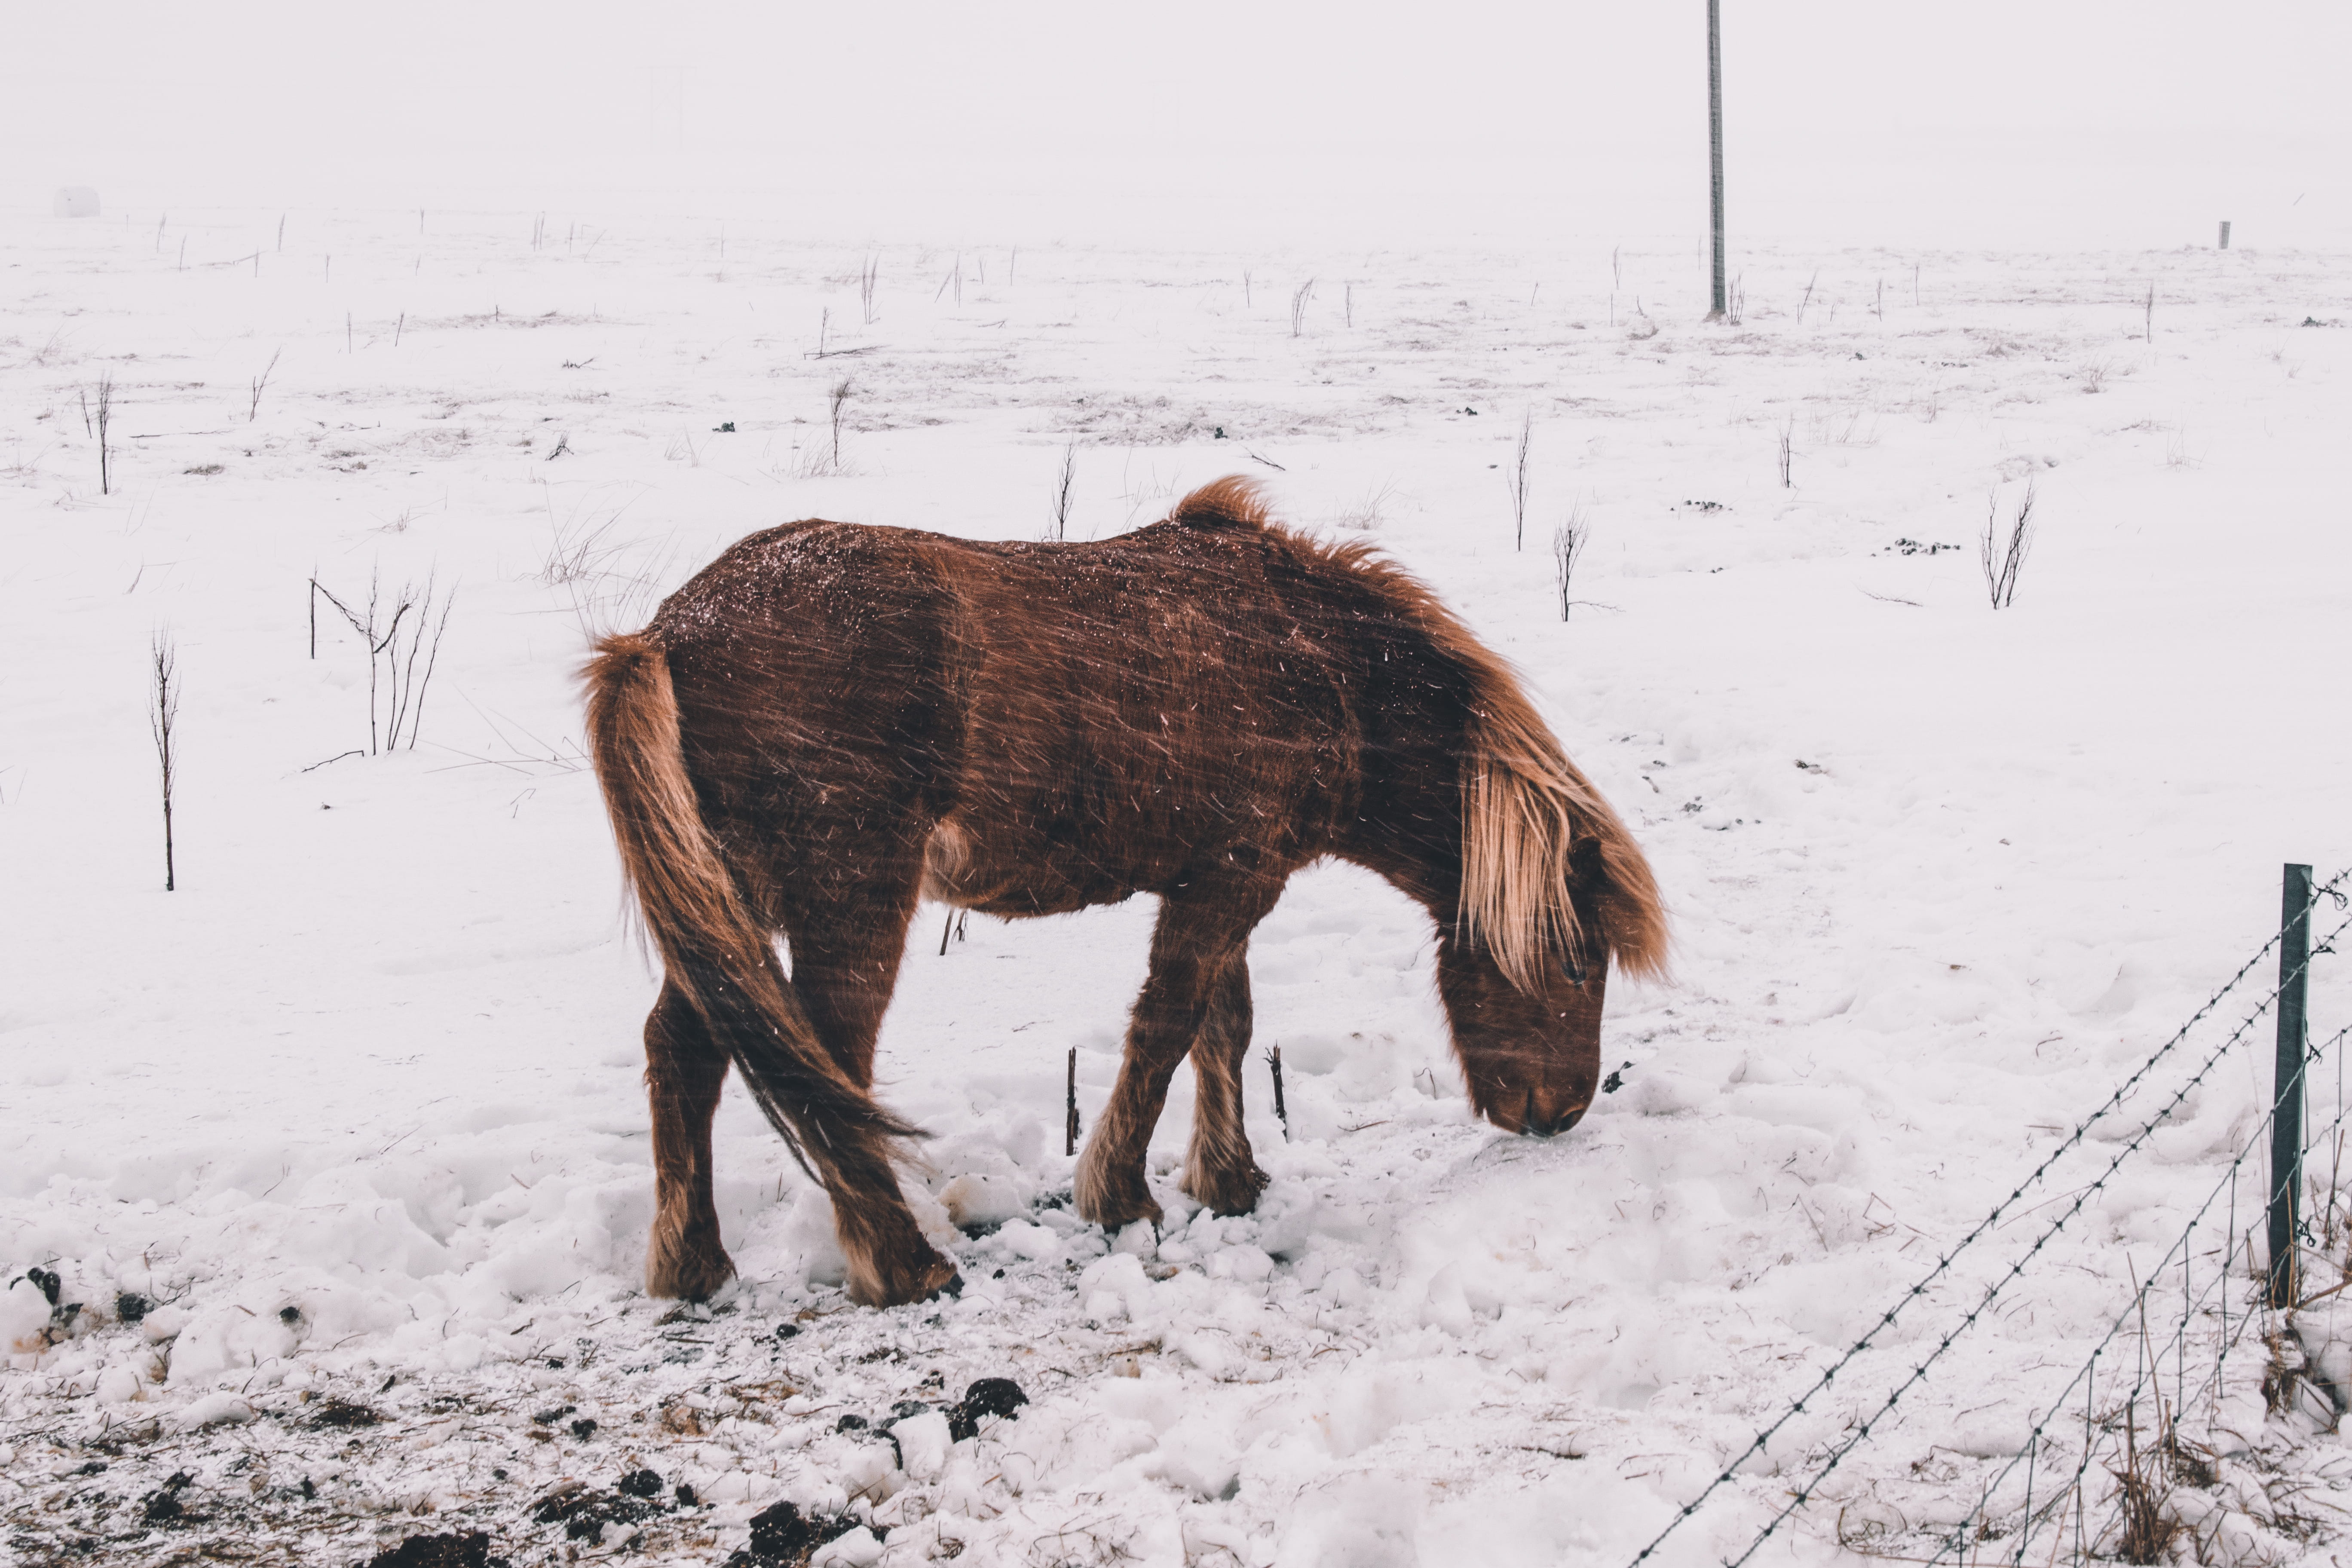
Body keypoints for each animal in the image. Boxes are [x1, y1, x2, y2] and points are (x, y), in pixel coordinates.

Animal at [583, 477, 1666, 1307]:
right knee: (830, 1070)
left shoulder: (1230, 877)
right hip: (850, 899)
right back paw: (901, 1265)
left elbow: (1224, 1026)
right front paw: (1123, 1196)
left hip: (731, 905)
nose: (1559, 1112)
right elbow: (1168, 1025)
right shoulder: (1231, 881)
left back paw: (694, 1267)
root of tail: (668, 636)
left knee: (685, 1051)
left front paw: (1228, 1178)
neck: (1321, 665)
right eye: (1577, 960)